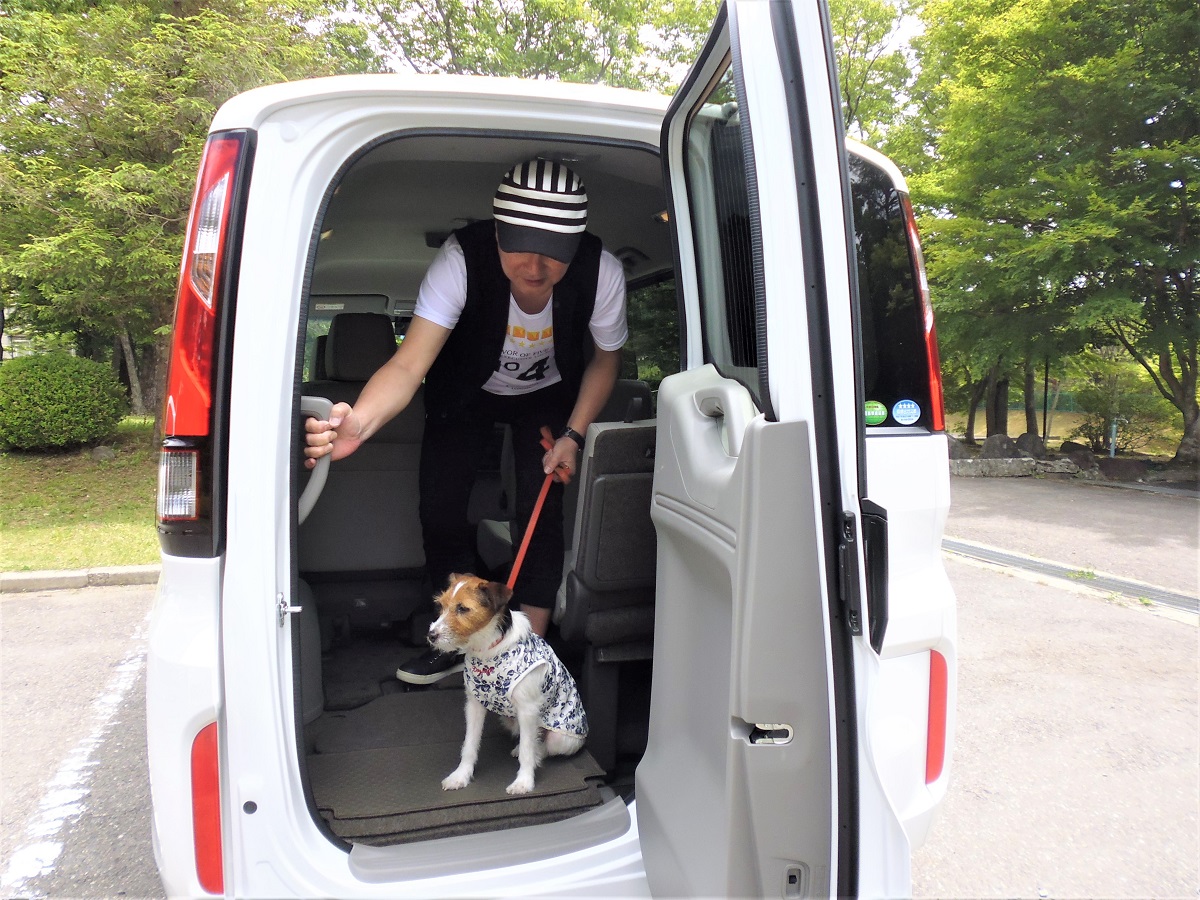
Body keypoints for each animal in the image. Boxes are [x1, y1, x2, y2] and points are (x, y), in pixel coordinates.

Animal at [429, 573, 587, 795]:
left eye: (463, 608)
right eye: (441, 605)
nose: (431, 635)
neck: (486, 649)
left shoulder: (528, 709)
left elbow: (528, 751)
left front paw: (524, 782)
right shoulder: (474, 706)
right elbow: (469, 744)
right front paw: (461, 775)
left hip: (561, 738)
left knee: (541, 746)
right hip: (510, 720)